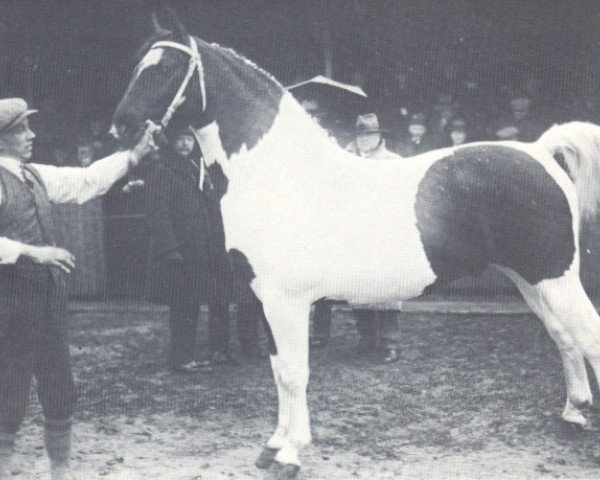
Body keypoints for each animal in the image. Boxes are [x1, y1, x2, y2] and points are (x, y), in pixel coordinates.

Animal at [113, 9, 600, 478]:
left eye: (166, 67)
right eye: (137, 63)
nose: (122, 126)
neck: (280, 174)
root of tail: (538, 151)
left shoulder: (287, 300)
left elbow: (295, 373)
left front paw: (291, 453)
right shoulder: (266, 300)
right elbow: (278, 370)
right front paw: (273, 445)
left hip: (556, 279)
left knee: (587, 336)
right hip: (529, 281)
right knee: (564, 337)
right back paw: (573, 413)